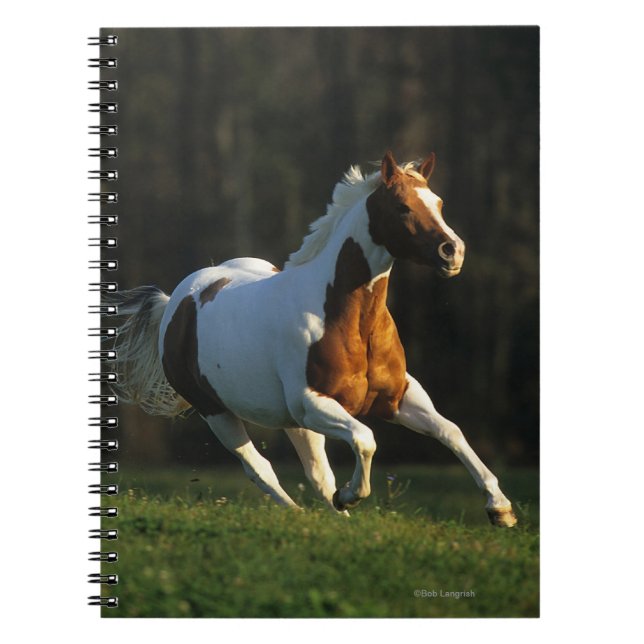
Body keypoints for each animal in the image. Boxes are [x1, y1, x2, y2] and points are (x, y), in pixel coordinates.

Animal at [110, 151, 517, 527]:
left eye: (439, 203)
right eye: (402, 207)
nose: (453, 252)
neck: (350, 321)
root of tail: (175, 303)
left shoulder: (398, 395)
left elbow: (451, 431)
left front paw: (500, 509)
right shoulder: (313, 403)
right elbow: (365, 439)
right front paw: (351, 494)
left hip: (291, 422)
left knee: (317, 474)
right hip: (219, 413)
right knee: (260, 468)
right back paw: (302, 513)